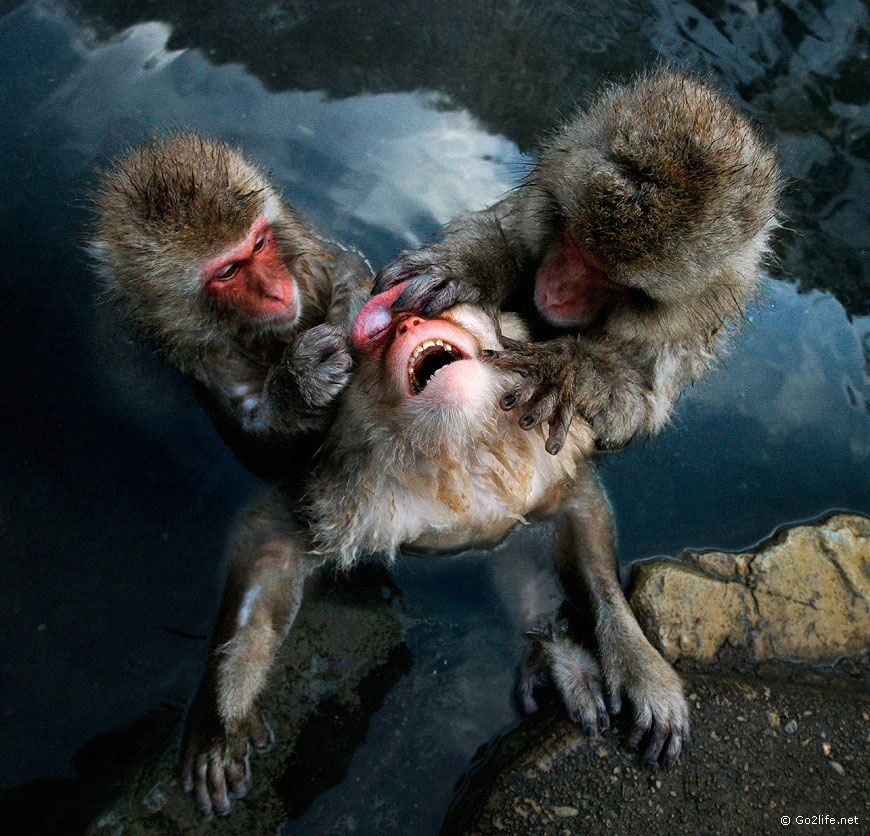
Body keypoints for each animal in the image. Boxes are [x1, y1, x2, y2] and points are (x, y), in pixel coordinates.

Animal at [90, 136, 372, 450]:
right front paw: (298, 381)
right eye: (227, 272)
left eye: (259, 244)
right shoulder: (207, 360)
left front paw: (348, 316)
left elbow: (346, 260)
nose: (277, 292)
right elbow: (256, 432)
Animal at [182, 284, 688, 812]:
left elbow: (581, 517)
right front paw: (223, 711)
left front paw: (635, 661)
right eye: (381, 332)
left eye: (421, 310)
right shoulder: (347, 499)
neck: (458, 453)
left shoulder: (544, 470)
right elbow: (272, 537)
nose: (407, 322)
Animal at [374, 69, 784, 454]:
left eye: (610, 278)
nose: (556, 294)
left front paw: (563, 370)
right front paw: (468, 267)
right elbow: (503, 232)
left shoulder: (684, 339)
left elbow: (636, 403)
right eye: (571, 242)